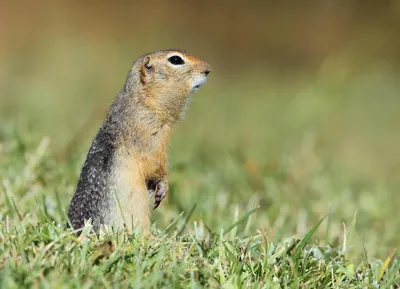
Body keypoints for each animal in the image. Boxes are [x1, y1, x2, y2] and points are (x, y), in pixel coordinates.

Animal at [67, 49, 211, 234]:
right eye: (176, 60)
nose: (207, 69)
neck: (143, 101)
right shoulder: (152, 138)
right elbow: (156, 165)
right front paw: (163, 188)